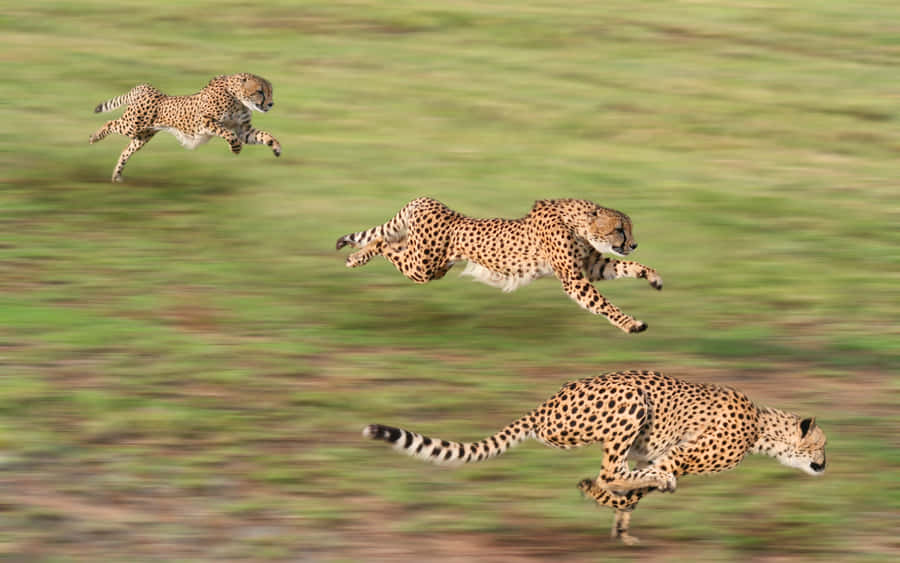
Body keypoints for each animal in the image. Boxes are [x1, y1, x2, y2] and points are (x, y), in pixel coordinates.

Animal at [89, 73, 281, 182]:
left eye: (270, 91)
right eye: (260, 91)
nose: (271, 104)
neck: (238, 98)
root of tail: (147, 88)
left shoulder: (243, 130)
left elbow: (265, 135)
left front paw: (276, 147)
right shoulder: (205, 121)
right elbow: (228, 133)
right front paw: (235, 148)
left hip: (142, 136)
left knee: (125, 151)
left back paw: (117, 175)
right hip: (132, 125)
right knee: (110, 123)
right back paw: (94, 137)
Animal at [336, 197, 662, 334]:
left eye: (628, 229)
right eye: (620, 229)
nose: (633, 243)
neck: (578, 221)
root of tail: (427, 200)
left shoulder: (591, 267)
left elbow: (628, 266)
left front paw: (653, 276)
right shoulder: (574, 279)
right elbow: (604, 304)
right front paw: (631, 324)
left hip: (428, 262)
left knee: (388, 242)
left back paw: (355, 255)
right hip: (423, 267)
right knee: (383, 242)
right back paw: (357, 256)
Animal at [363, 370, 827, 545]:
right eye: (822, 445)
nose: (825, 465)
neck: (763, 426)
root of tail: (546, 404)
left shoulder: (660, 456)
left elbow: (638, 490)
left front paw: (621, 527)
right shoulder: (678, 454)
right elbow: (643, 482)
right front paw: (614, 507)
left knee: (614, 472)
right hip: (631, 403)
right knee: (608, 471)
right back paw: (593, 485)